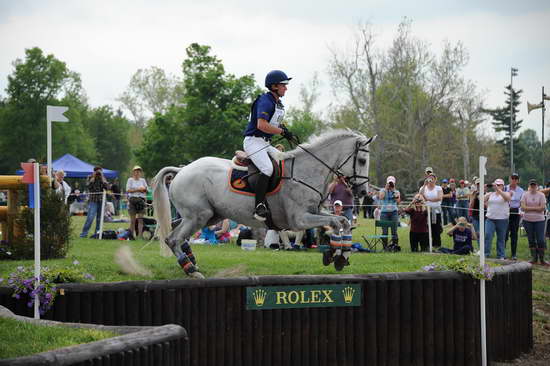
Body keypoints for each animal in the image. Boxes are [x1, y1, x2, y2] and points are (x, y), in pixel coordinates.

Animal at [153, 129, 378, 278]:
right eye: (362, 161)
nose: (363, 192)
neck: (307, 171)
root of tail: (182, 170)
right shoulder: (300, 219)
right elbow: (336, 223)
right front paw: (336, 255)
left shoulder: (316, 211)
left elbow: (342, 222)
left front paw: (340, 255)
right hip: (199, 216)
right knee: (172, 239)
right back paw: (190, 269)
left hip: (209, 215)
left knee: (174, 229)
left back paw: (191, 260)